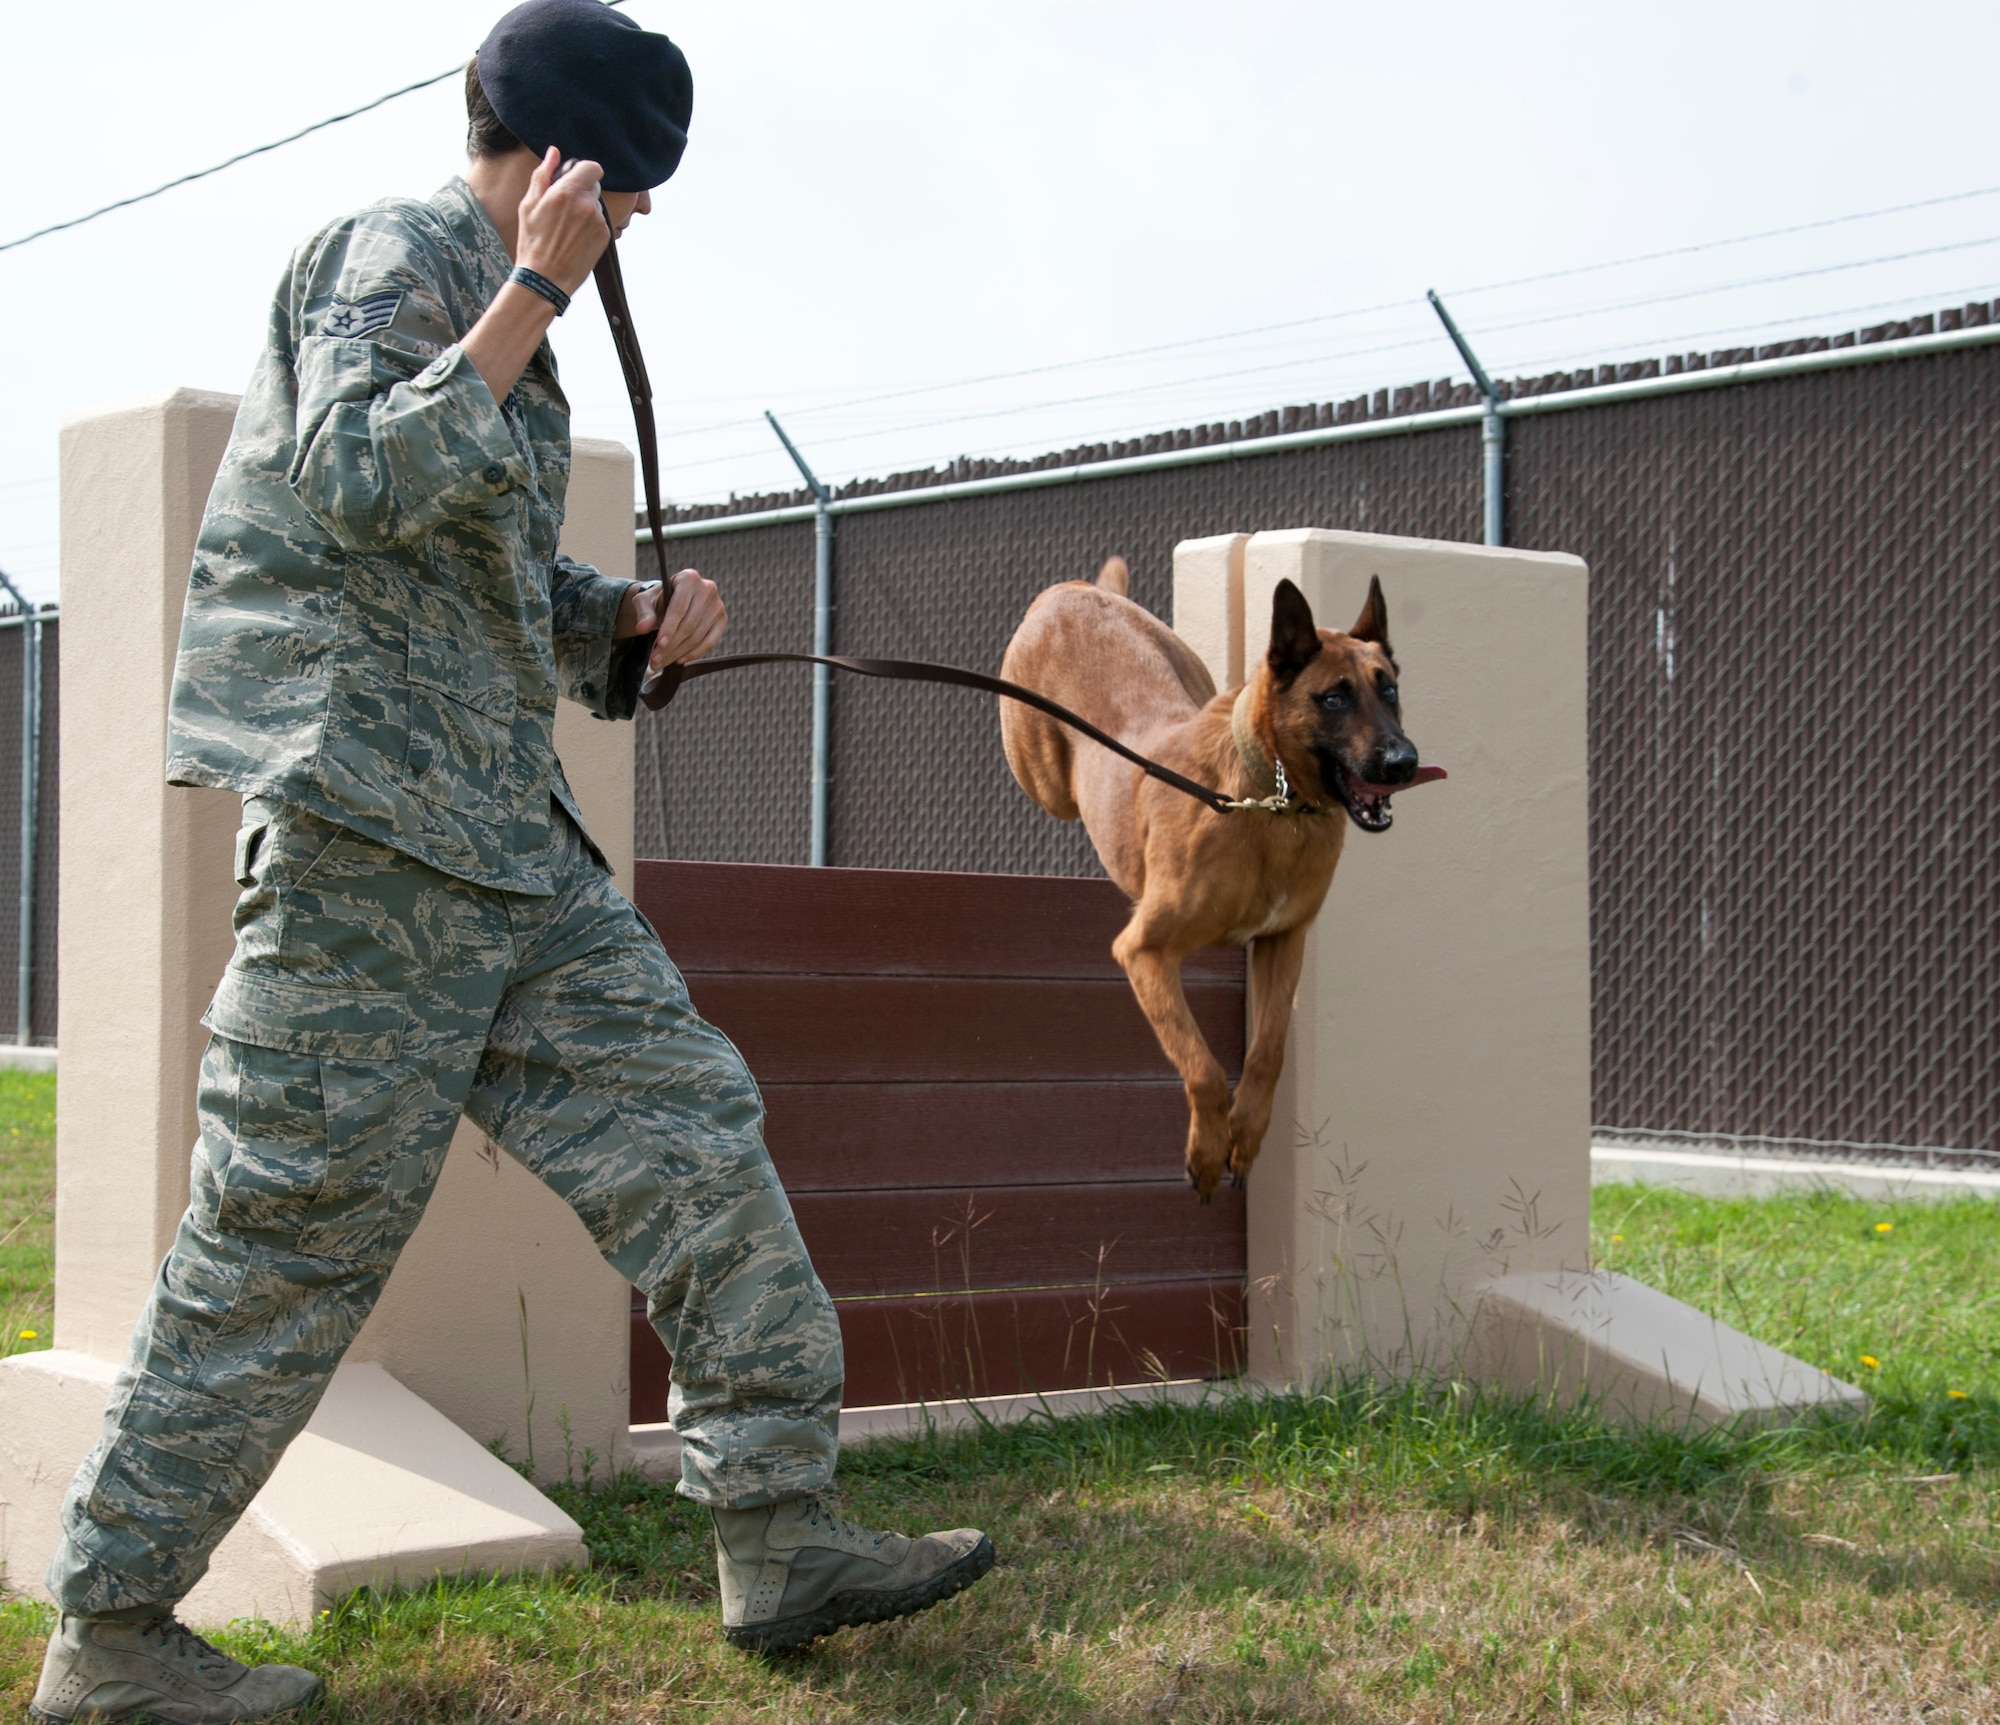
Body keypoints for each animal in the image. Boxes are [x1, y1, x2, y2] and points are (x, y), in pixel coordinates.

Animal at [1000, 564, 1440, 1200]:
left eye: (1389, 691)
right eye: (1334, 698)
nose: (1403, 763)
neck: (1272, 800)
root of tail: (1077, 589)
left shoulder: (1284, 943)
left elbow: (1268, 1053)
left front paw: (1246, 1136)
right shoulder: (1145, 952)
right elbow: (1203, 1066)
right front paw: (1208, 1153)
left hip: (1194, 676)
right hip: (1044, 779)